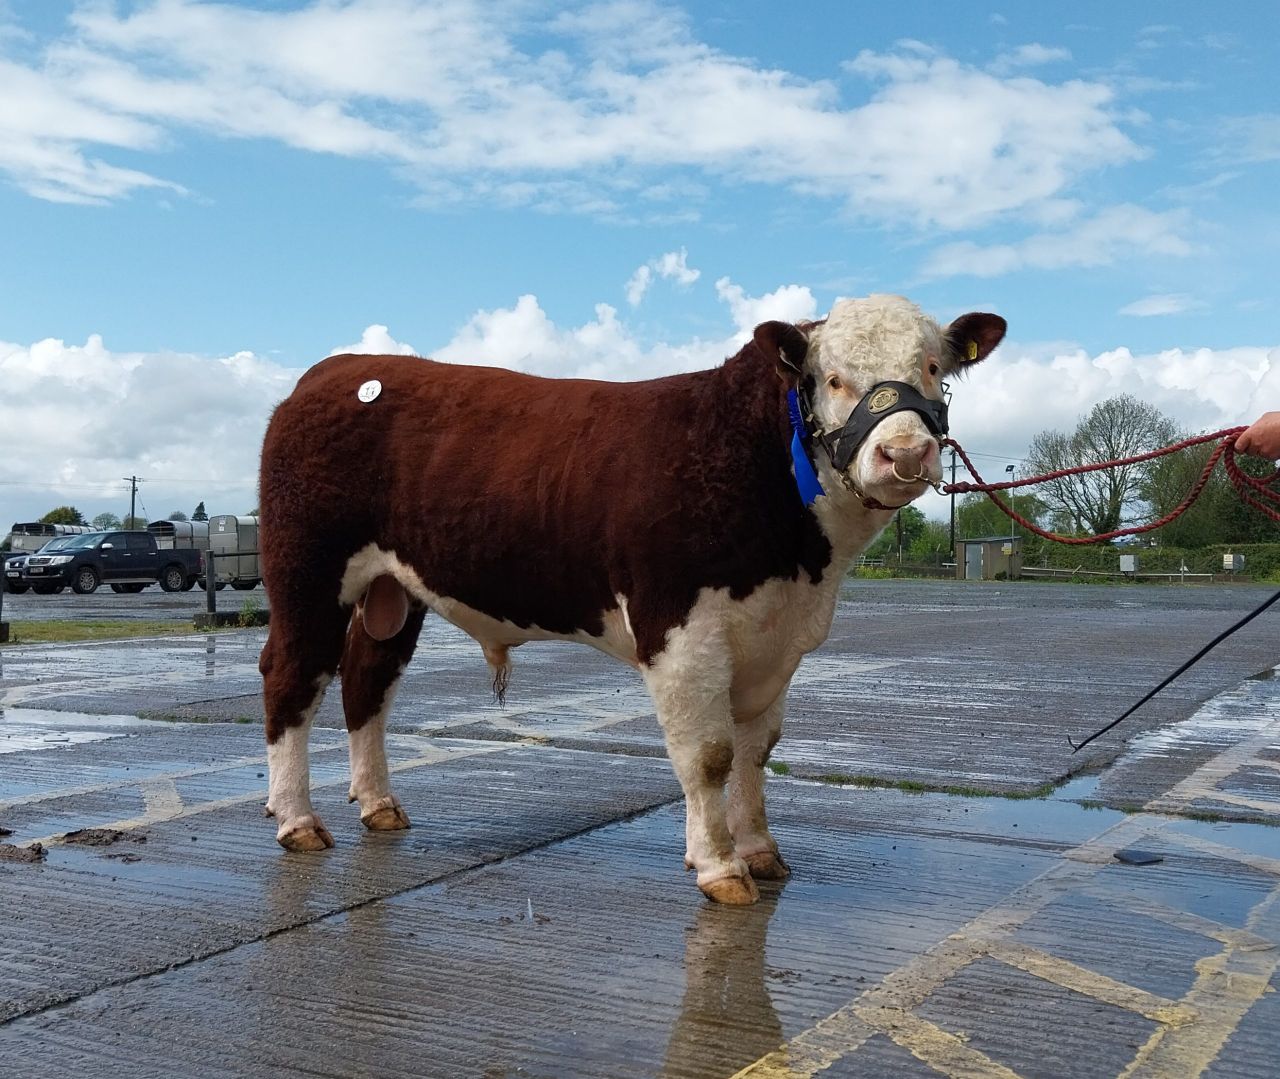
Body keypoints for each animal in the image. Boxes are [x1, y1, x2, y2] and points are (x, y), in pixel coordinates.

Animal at [258, 294, 1005, 904]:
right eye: (833, 378)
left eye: (932, 367)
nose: (904, 454)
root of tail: (332, 372)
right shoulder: (680, 630)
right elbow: (709, 754)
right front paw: (721, 868)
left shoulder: (776, 639)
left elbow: (757, 749)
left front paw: (760, 851)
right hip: (307, 573)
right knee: (291, 677)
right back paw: (296, 818)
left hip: (393, 592)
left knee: (367, 681)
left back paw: (378, 803)